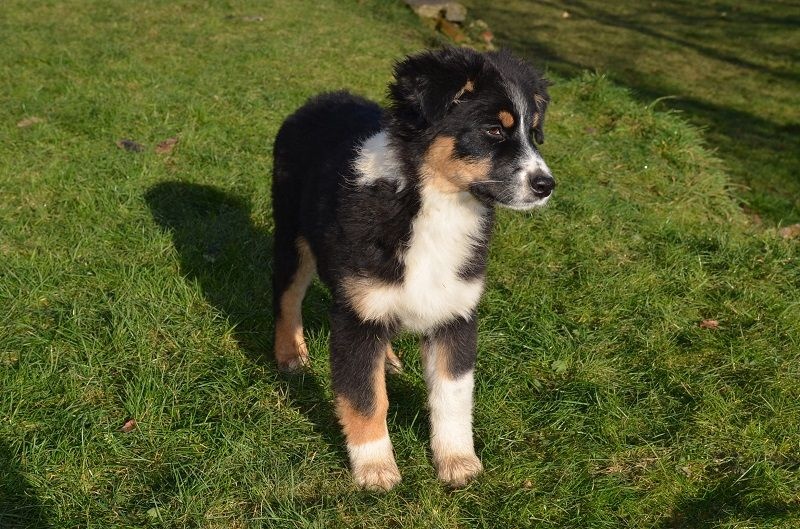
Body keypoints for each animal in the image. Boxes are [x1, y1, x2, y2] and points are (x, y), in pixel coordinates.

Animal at [272, 47, 552, 488]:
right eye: (493, 130)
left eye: (533, 131)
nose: (546, 185)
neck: (437, 206)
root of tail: (320, 100)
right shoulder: (356, 316)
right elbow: (366, 398)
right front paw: (375, 469)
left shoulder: (457, 313)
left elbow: (453, 396)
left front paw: (457, 461)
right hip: (292, 235)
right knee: (286, 298)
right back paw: (290, 356)